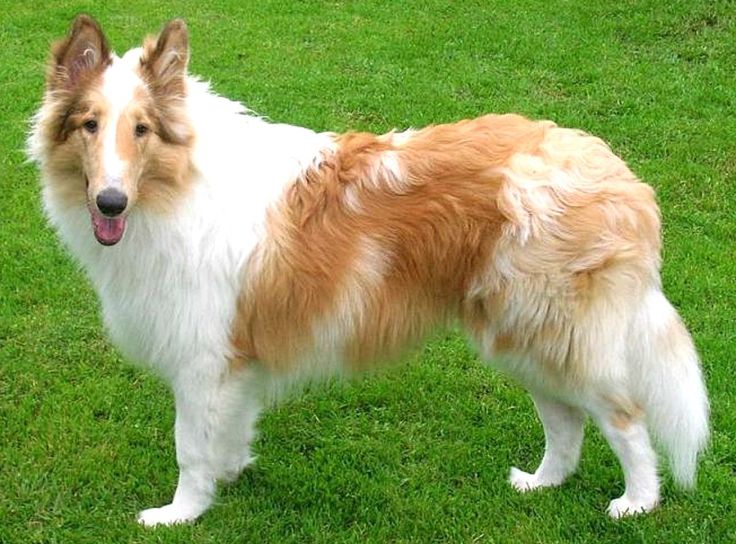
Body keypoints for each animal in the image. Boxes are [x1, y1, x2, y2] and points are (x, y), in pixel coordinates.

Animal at [27, 15, 708, 528]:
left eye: (141, 129)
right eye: (89, 126)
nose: (109, 203)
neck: (179, 183)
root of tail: (618, 175)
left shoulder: (202, 357)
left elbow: (189, 446)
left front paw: (180, 513)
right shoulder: (234, 361)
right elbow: (229, 431)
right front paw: (231, 472)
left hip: (555, 332)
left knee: (626, 417)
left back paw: (637, 502)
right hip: (521, 333)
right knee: (566, 420)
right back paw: (541, 483)